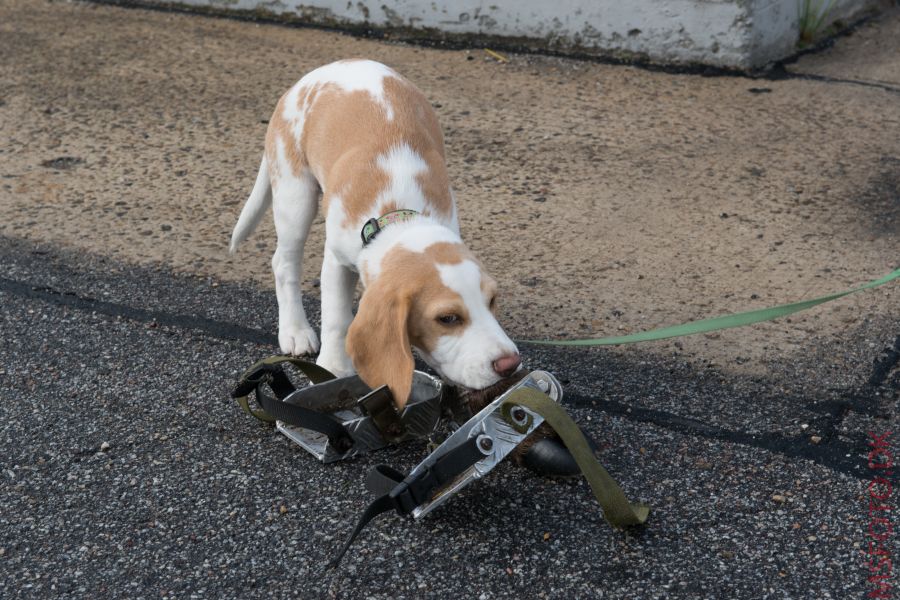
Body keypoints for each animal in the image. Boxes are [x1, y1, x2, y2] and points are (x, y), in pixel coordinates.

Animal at [230, 59, 520, 408]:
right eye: (447, 319)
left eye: (492, 300)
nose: (510, 364)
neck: (399, 217)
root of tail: (315, 74)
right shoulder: (336, 261)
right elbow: (337, 319)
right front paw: (332, 368)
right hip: (294, 195)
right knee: (283, 263)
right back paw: (295, 330)